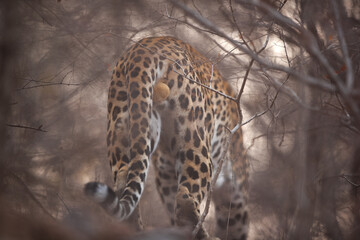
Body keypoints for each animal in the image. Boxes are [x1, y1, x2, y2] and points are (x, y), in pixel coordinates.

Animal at [84, 36, 249, 240]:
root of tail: (144, 49)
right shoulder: (235, 185)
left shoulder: (166, 173)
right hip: (196, 141)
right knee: (185, 197)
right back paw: (201, 233)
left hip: (126, 124)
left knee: (124, 178)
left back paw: (135, 228)